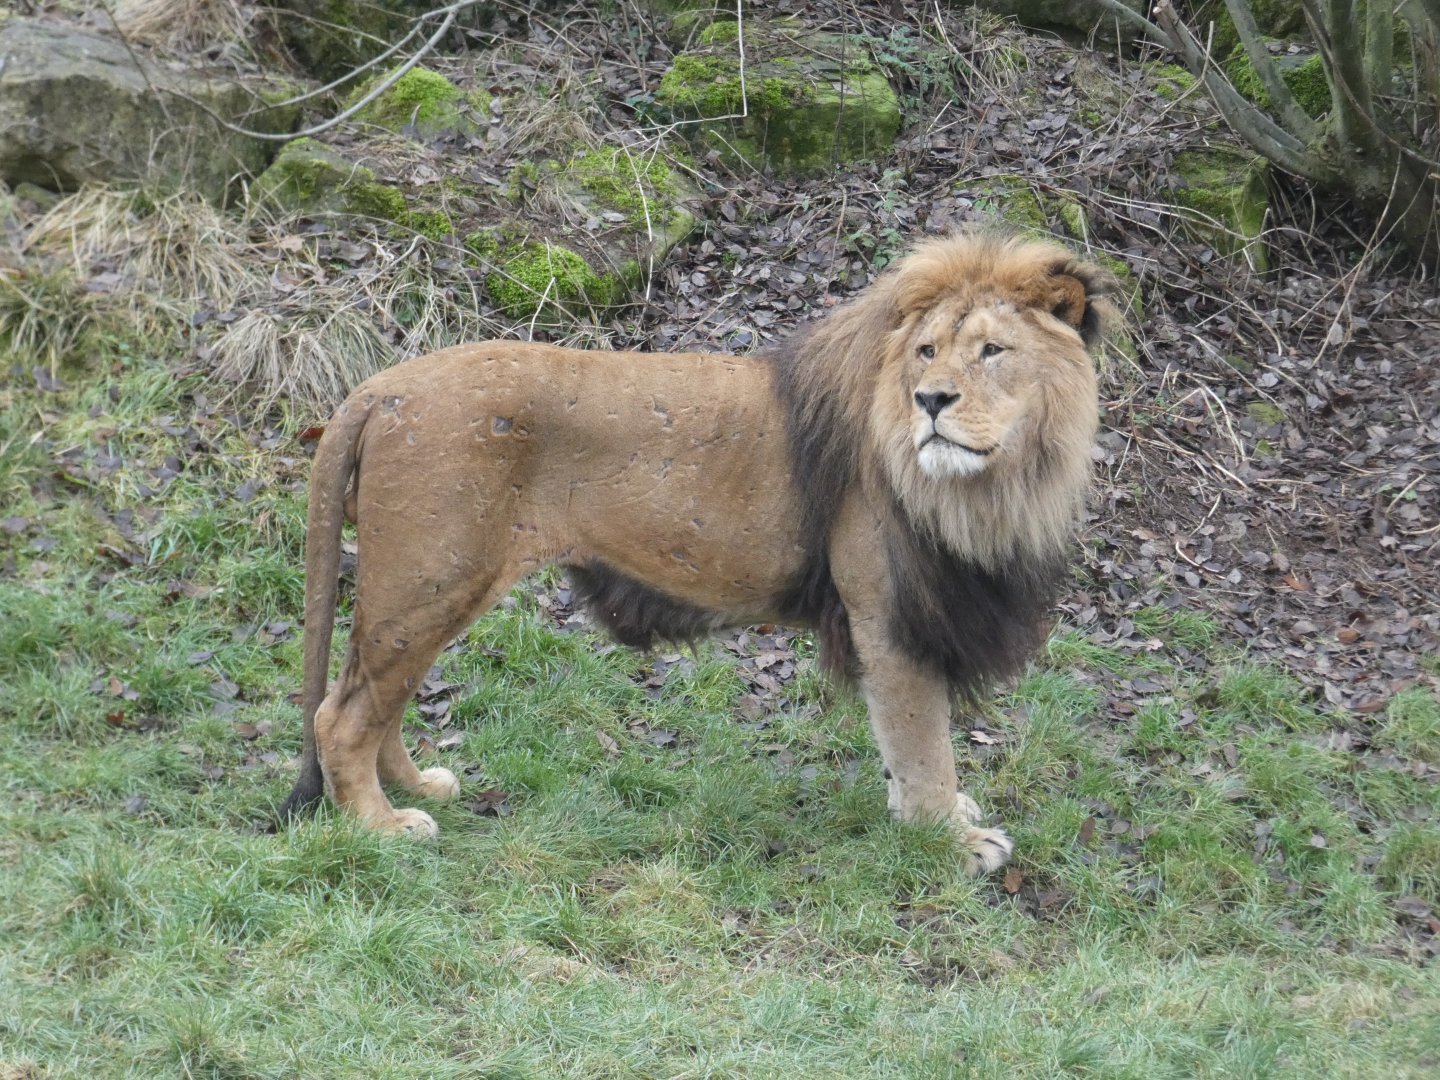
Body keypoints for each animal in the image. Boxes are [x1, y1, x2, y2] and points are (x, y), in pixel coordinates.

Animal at [277, 230, 1114, 876]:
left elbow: (909, 739)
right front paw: (951, 840)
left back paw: (418, 789)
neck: (992, 486)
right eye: (928, 352)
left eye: (993, 351)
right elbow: (921, 739)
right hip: (431, 579)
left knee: (371, 700)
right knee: (340, 716)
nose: (931, 400)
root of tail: (377, 389)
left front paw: (939, 818)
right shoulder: (890, 612)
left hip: (423, 590)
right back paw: (382, 827)